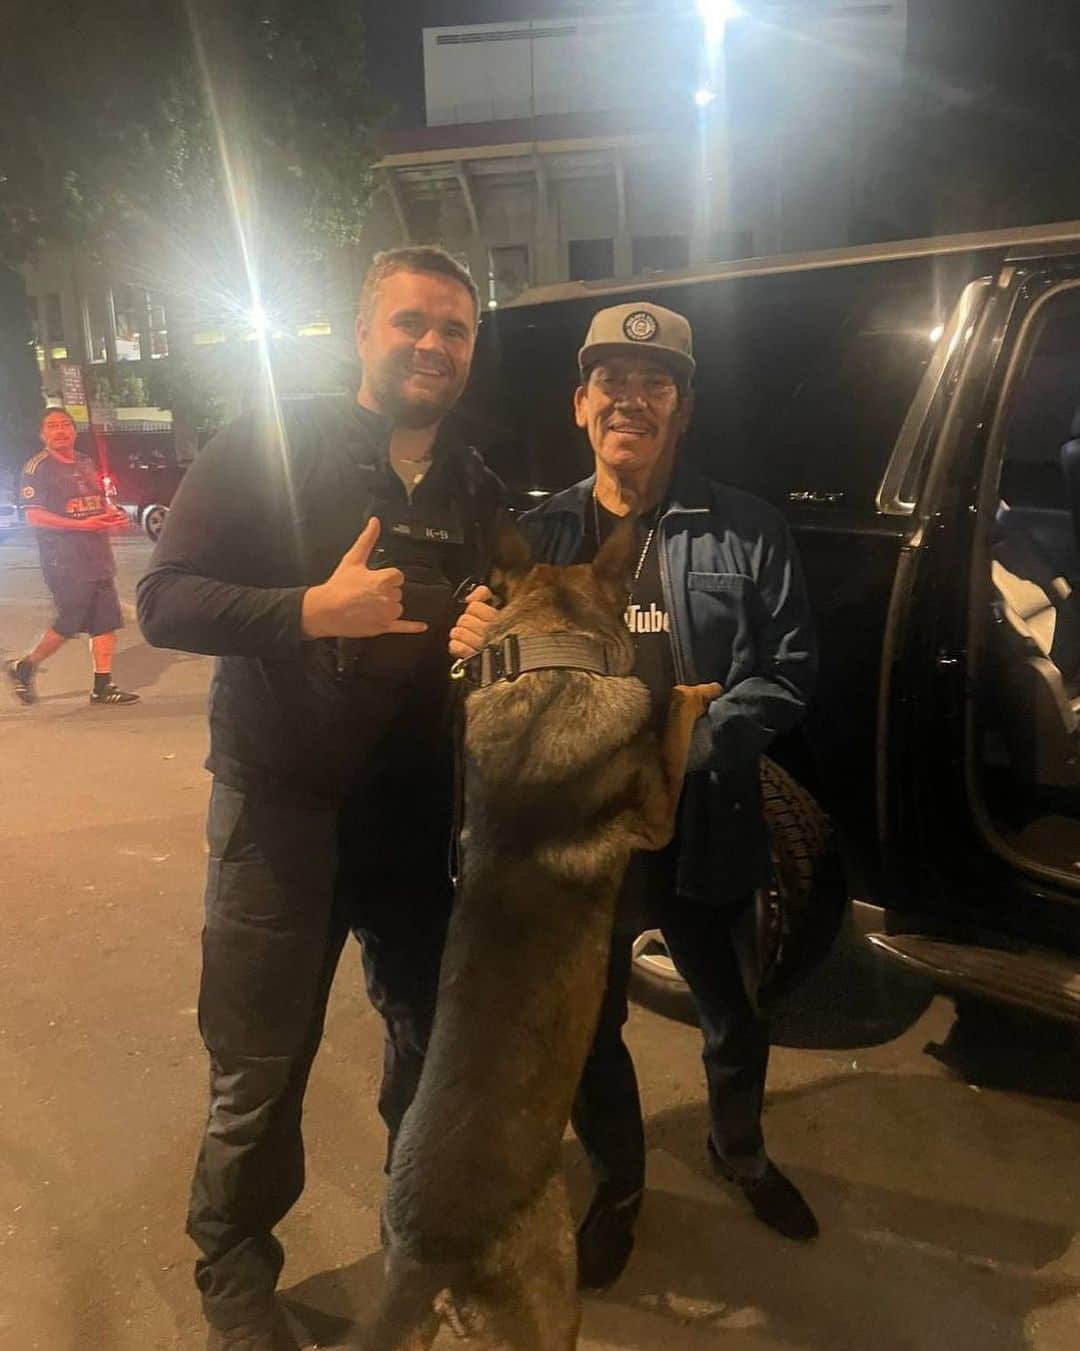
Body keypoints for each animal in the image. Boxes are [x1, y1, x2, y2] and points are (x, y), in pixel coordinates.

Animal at [364, 524, 724, 1351]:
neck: (554, 665)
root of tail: (429, 1252)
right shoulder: (654, 812)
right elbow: (672, 728)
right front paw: (693, 694)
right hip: (554, 1302)